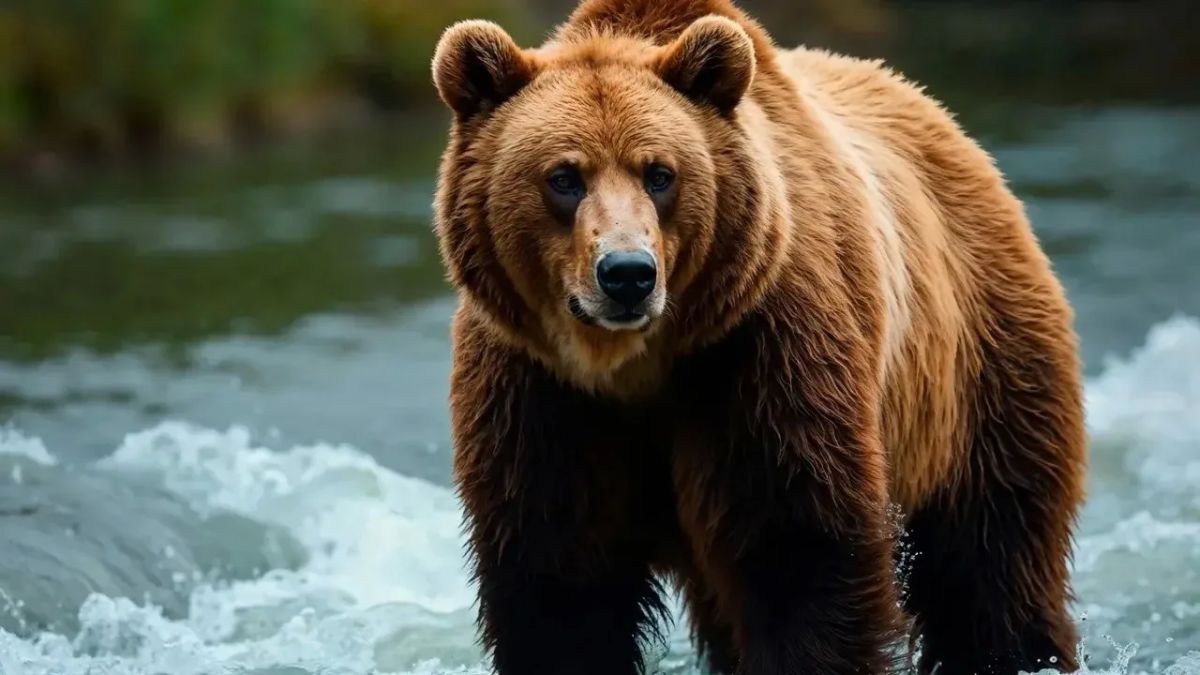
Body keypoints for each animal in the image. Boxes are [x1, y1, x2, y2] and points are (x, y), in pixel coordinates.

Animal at [431, 1, 1087, 673]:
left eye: (659, 173)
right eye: (564, 177)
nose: (627, 274)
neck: (635, 367)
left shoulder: (763, 351)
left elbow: (797, 550)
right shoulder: (539, 392)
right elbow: (557, 573)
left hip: (977, 374)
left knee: (992, 559)